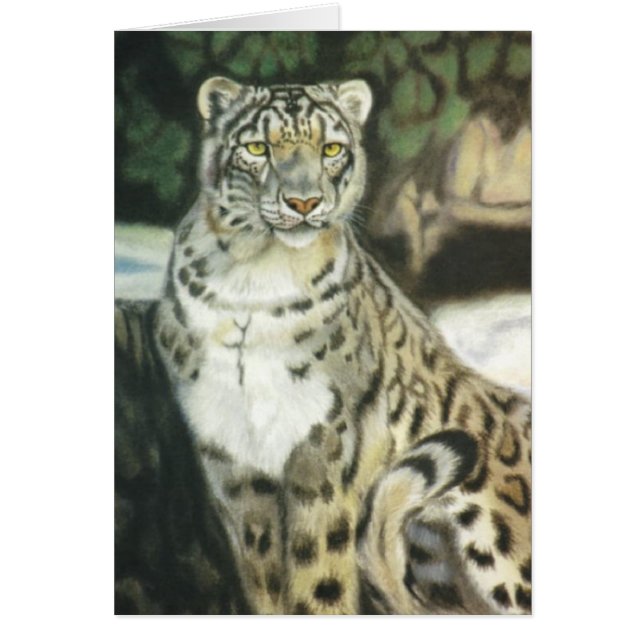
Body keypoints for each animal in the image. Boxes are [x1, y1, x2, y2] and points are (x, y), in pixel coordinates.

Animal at [151, 76, 532, 614]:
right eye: (258, 148)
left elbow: (319, 568)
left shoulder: (326, 447)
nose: (303, 202)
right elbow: (264, 571)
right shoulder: (232, 461)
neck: (253, 280)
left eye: (331, 149)